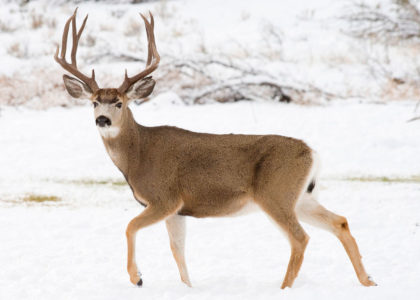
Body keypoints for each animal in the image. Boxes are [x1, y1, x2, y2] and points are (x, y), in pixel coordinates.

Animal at [54, 9, 376, 290]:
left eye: (119, 102)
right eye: (94, 102)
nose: (102, 120)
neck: (138, 155)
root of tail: (312, 152)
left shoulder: (164, 198)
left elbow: (130, 227)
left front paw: (138, 278)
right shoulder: (179, 210)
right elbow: (178, 250)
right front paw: (188, 287)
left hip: (275, 194)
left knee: (300, 238)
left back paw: (284, 287)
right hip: (302, 196)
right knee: (340, 222)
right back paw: (368, 280)